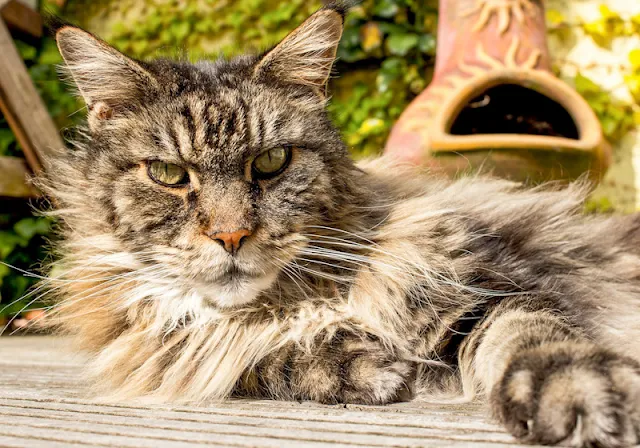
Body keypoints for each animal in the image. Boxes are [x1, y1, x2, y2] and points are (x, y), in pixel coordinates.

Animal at [40, 3, 640, 448]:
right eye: (167, 174)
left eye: (271, 162)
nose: (231, 236)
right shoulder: (156, 343)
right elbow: (248, 354)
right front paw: (363, 368)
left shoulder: (493, 285)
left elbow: (534, 338)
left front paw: (583, 396)